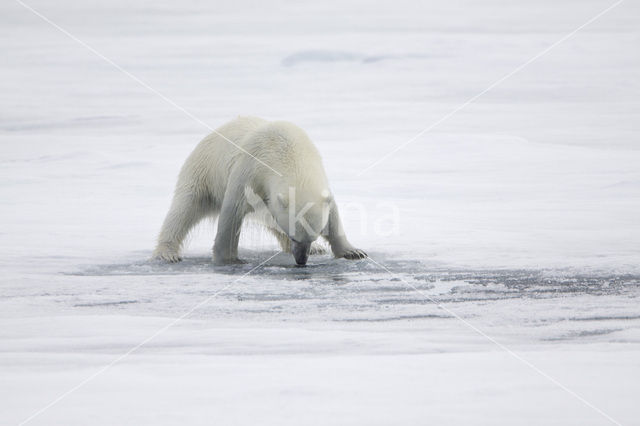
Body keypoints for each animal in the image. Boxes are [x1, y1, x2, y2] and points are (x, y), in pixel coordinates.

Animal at [152, 115, 368, 264]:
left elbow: (333, 214)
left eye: (314, 234)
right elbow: (232, 211)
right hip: (202, 173)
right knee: (184, 210)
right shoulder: (251, 168)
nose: (301, 260)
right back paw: (167, 253)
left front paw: (353, 251)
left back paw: (317, 249)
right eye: (294, 236)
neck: (289, 153)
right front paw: (228, 259)